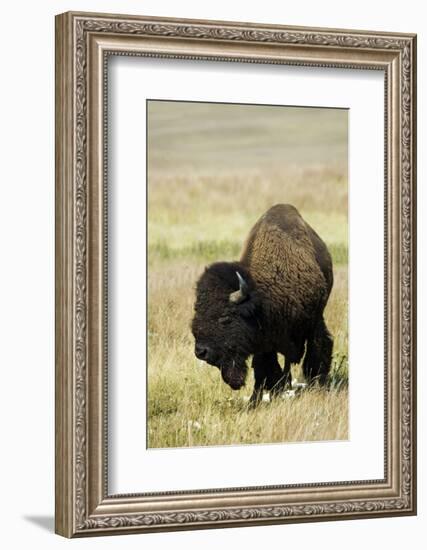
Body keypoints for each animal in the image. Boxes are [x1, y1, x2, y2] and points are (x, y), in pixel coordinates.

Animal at [192, 205, 336, 408]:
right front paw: (257, 400)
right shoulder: (264, 342)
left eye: (225, 318)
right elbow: (264, 370)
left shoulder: (312, 323)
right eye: (197, 312)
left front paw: (317, 386)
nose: (201, 352)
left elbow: (316, 352)